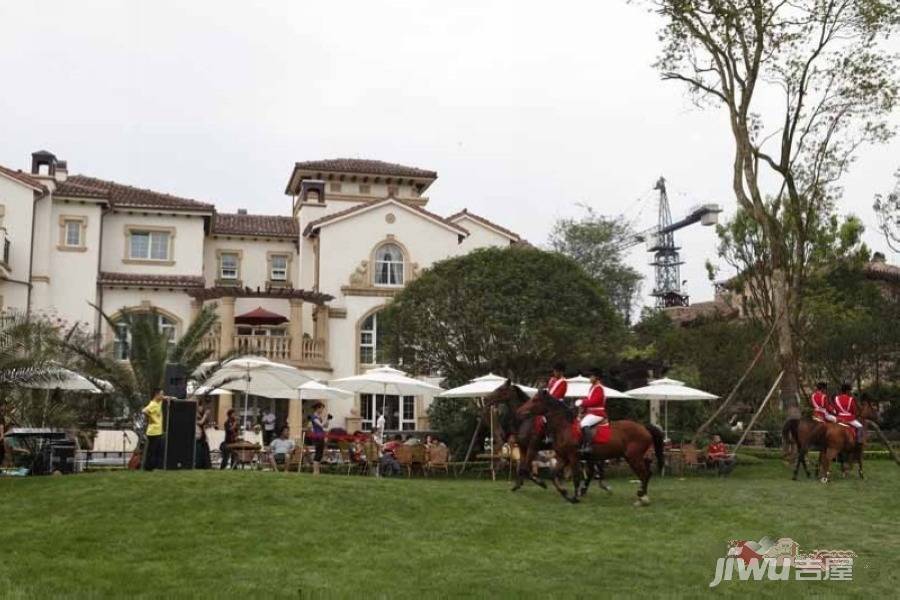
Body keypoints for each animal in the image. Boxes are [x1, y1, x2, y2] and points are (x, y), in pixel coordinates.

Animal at [512, 386, 668, 504]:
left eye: (535, 400)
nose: (519, 411)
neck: (564, 427)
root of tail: (644, 427)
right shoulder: (563, 458)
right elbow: (552, 475)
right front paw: (565, 492)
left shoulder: (573, 457)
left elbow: (576, 477)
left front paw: (574, 498)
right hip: (631, 458)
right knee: (645, 474)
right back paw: (641, 495)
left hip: (633, 457)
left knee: (644, 474)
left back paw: (642, 496)